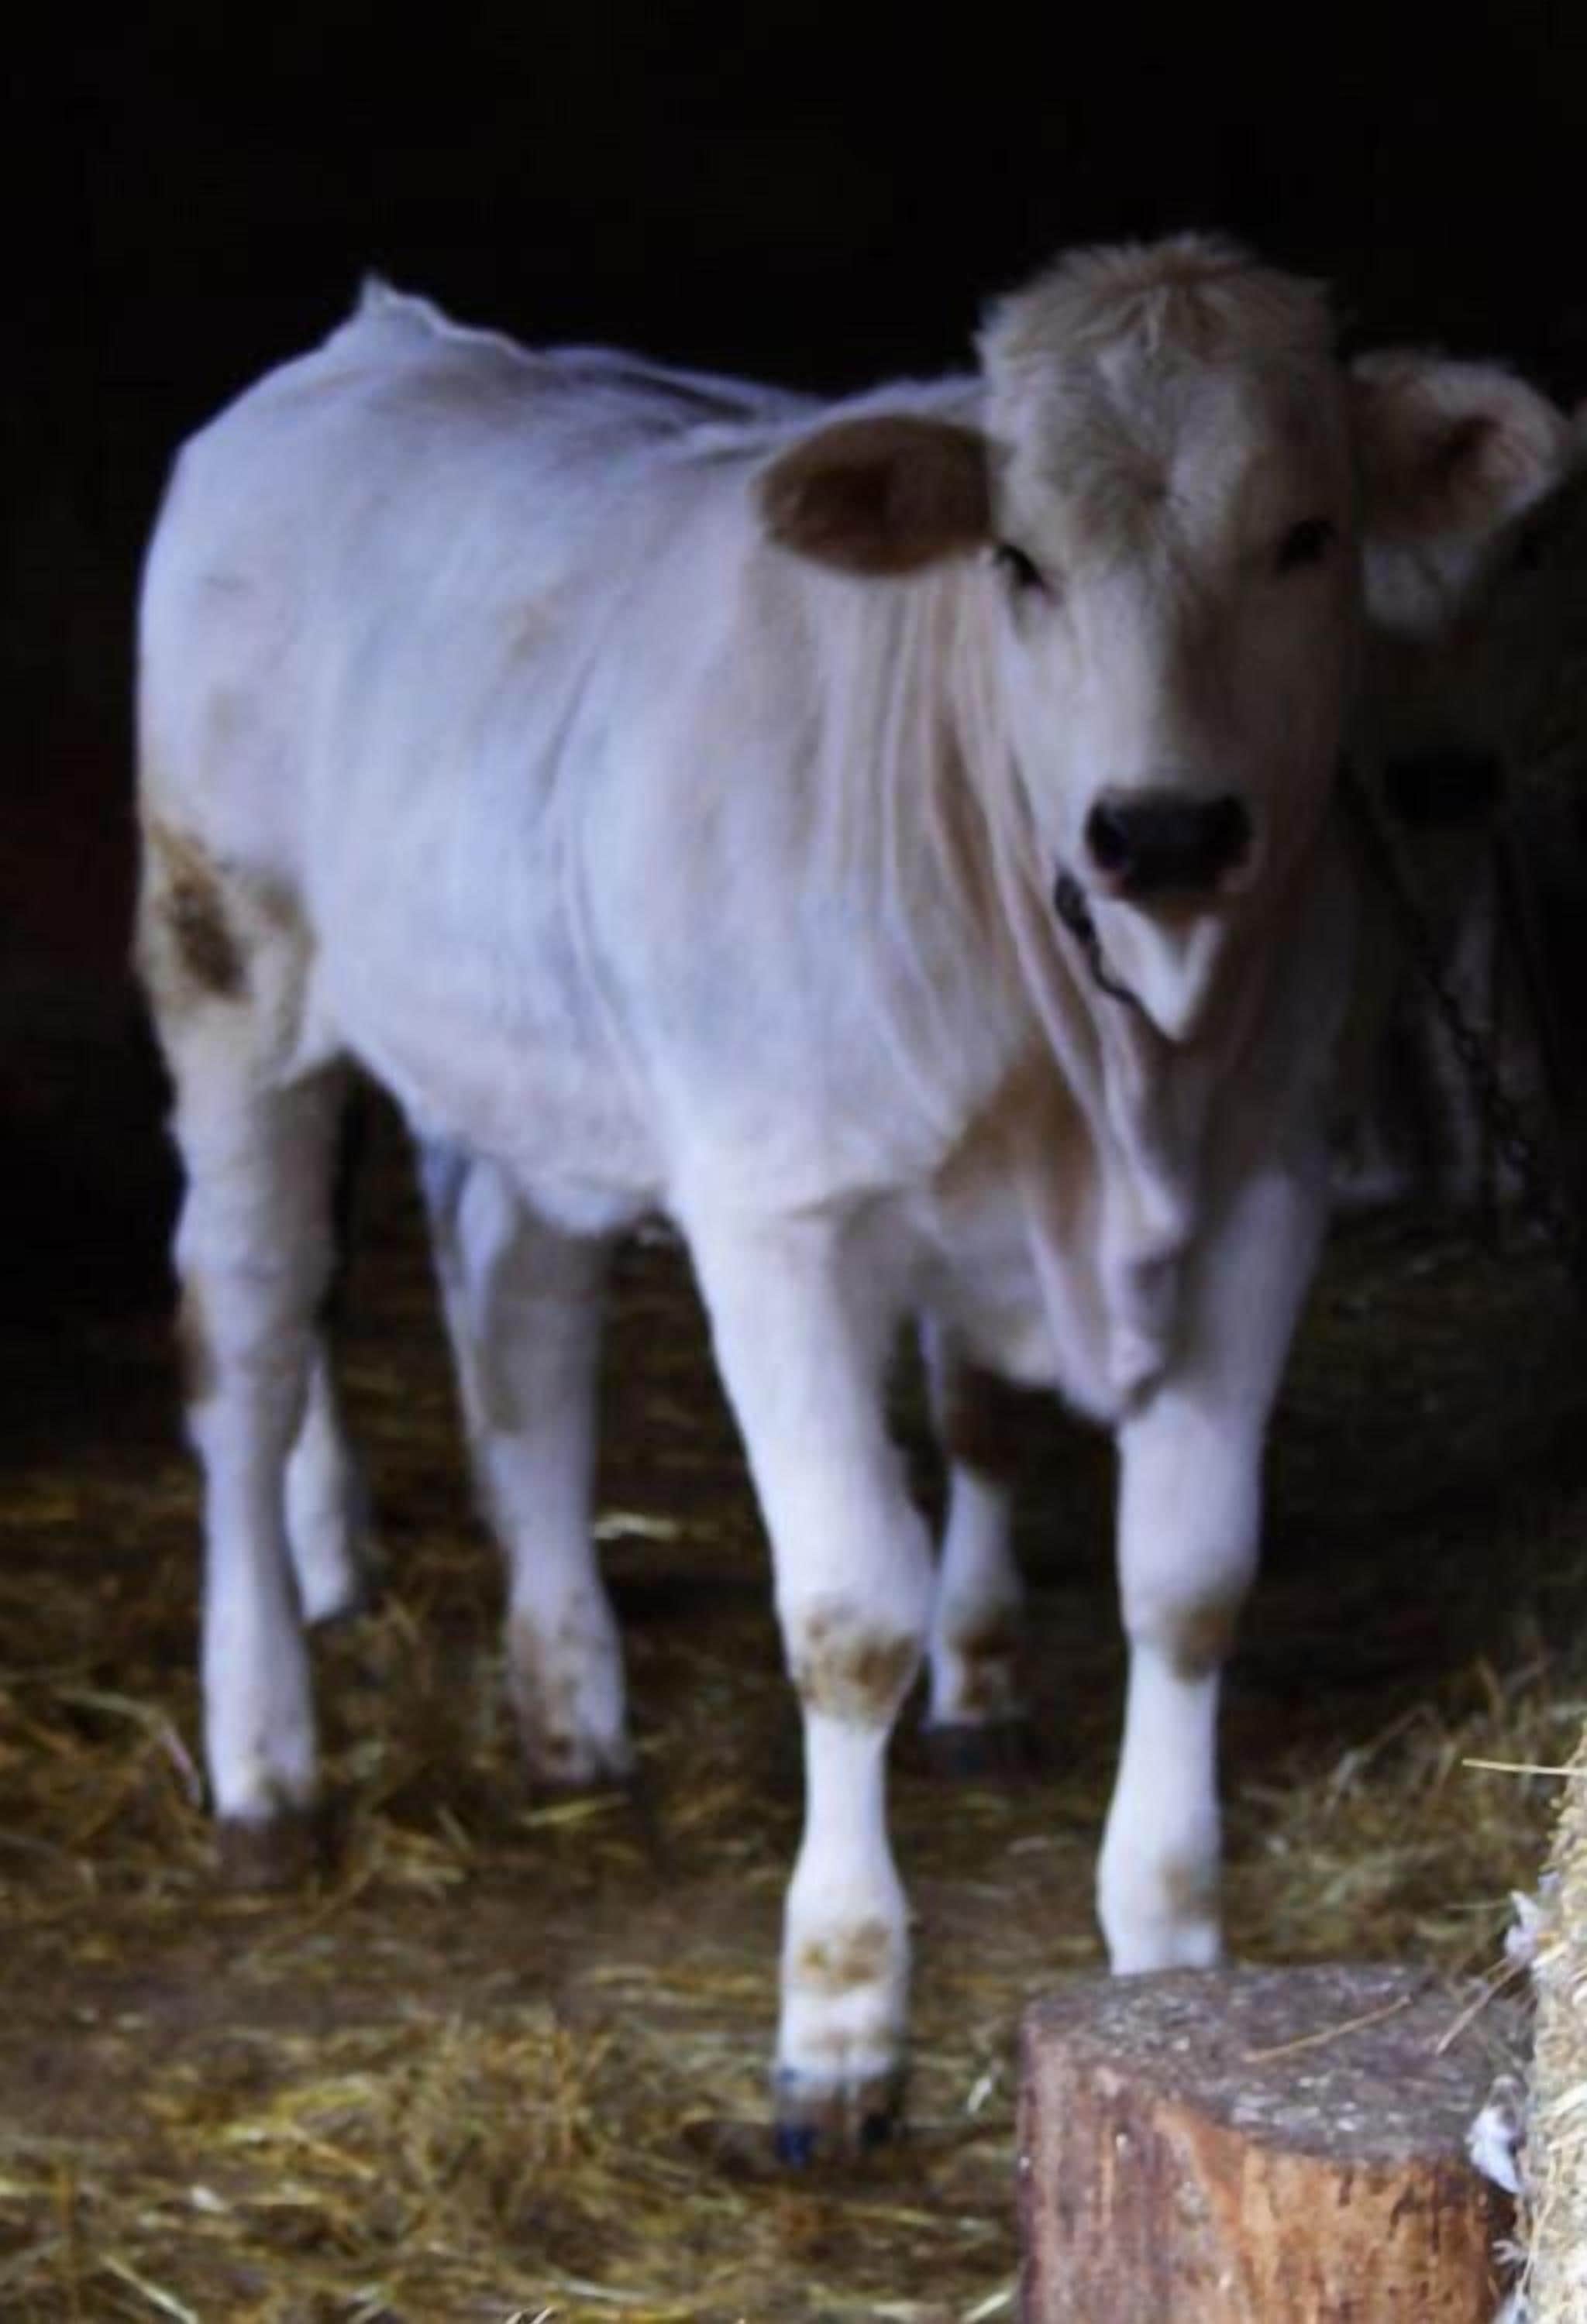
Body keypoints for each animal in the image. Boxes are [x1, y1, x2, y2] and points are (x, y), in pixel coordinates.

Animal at [135, 237, 1553, 2156]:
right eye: (1014, 559)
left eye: (1305, 535)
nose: (1164, 830)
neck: (1111, 1088)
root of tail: (381, 340)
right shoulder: (778, 1217)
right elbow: (851, 1618)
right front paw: (839, 2013)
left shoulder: (1265, 1195)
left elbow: (1187, 1581)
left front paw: (1173, 1953)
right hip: (230, 985)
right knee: (252, 1349)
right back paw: (268, 1763)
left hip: (530, 1050)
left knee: (521, 1318)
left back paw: (568, 1701)